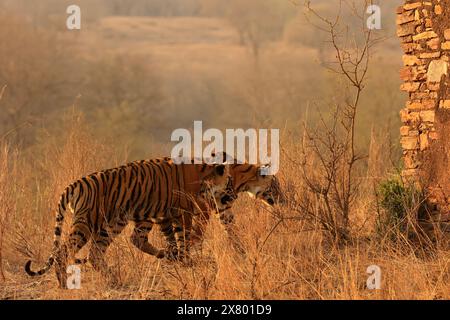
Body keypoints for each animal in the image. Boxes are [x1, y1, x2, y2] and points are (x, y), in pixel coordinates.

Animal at [24, 158, 236, 288]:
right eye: (230, 181)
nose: (233, 195)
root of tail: (73, 184)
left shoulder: (167, 214)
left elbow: (174, 238)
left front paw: (175, 256)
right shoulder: (182, 212)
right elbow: (183, 237)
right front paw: (185, 260)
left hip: (115, 223)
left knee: (99, 252)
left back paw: (115, 278)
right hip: (87, 223)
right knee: (63, 252)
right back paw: (63, 284)